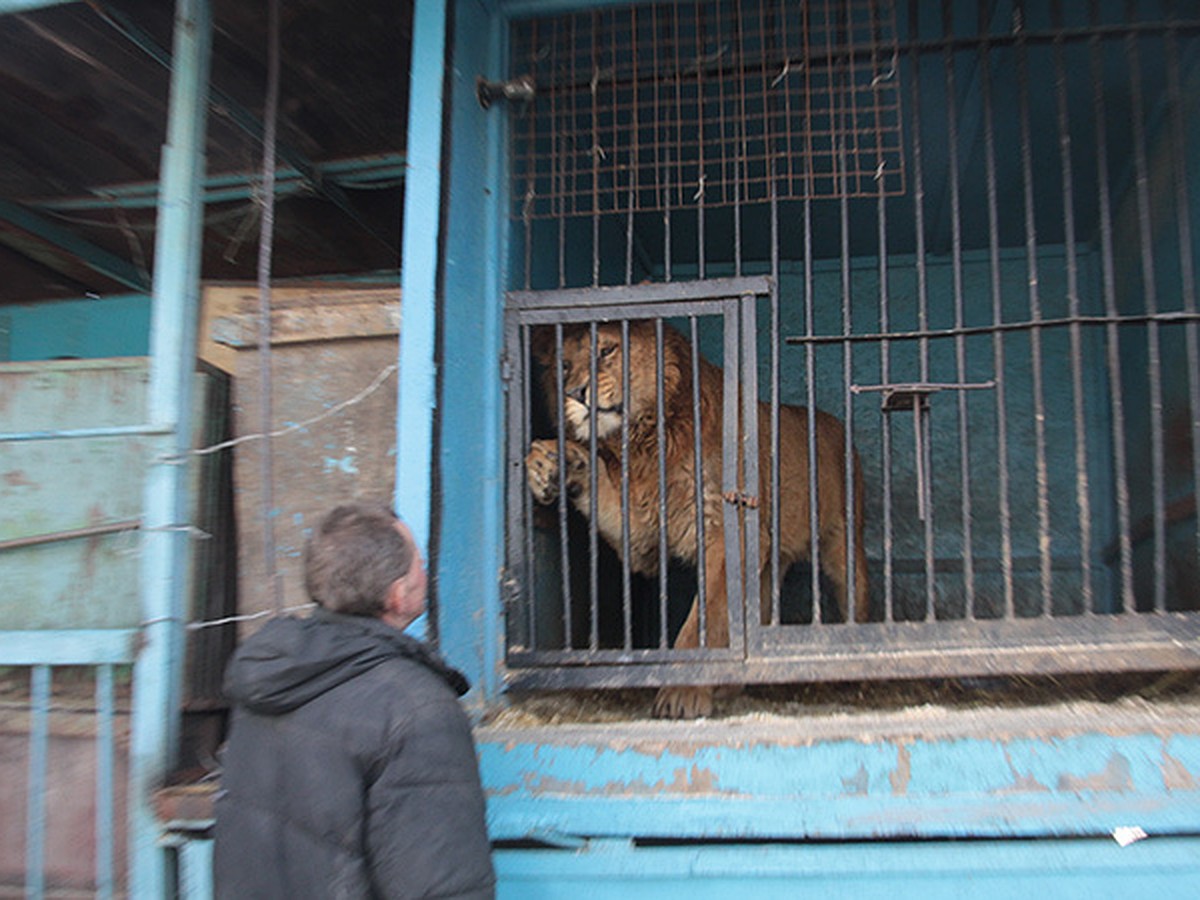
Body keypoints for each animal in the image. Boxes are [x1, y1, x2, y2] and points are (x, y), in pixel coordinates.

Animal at [523, 321, 864, 724]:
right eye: (563, 367)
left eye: (606, 350)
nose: (575, 393)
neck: (644, 442)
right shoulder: (643, 533)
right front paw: (549, 463)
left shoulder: (727, 530)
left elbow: (704, 620)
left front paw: (682, 695)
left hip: (844, 548)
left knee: (856, 601)